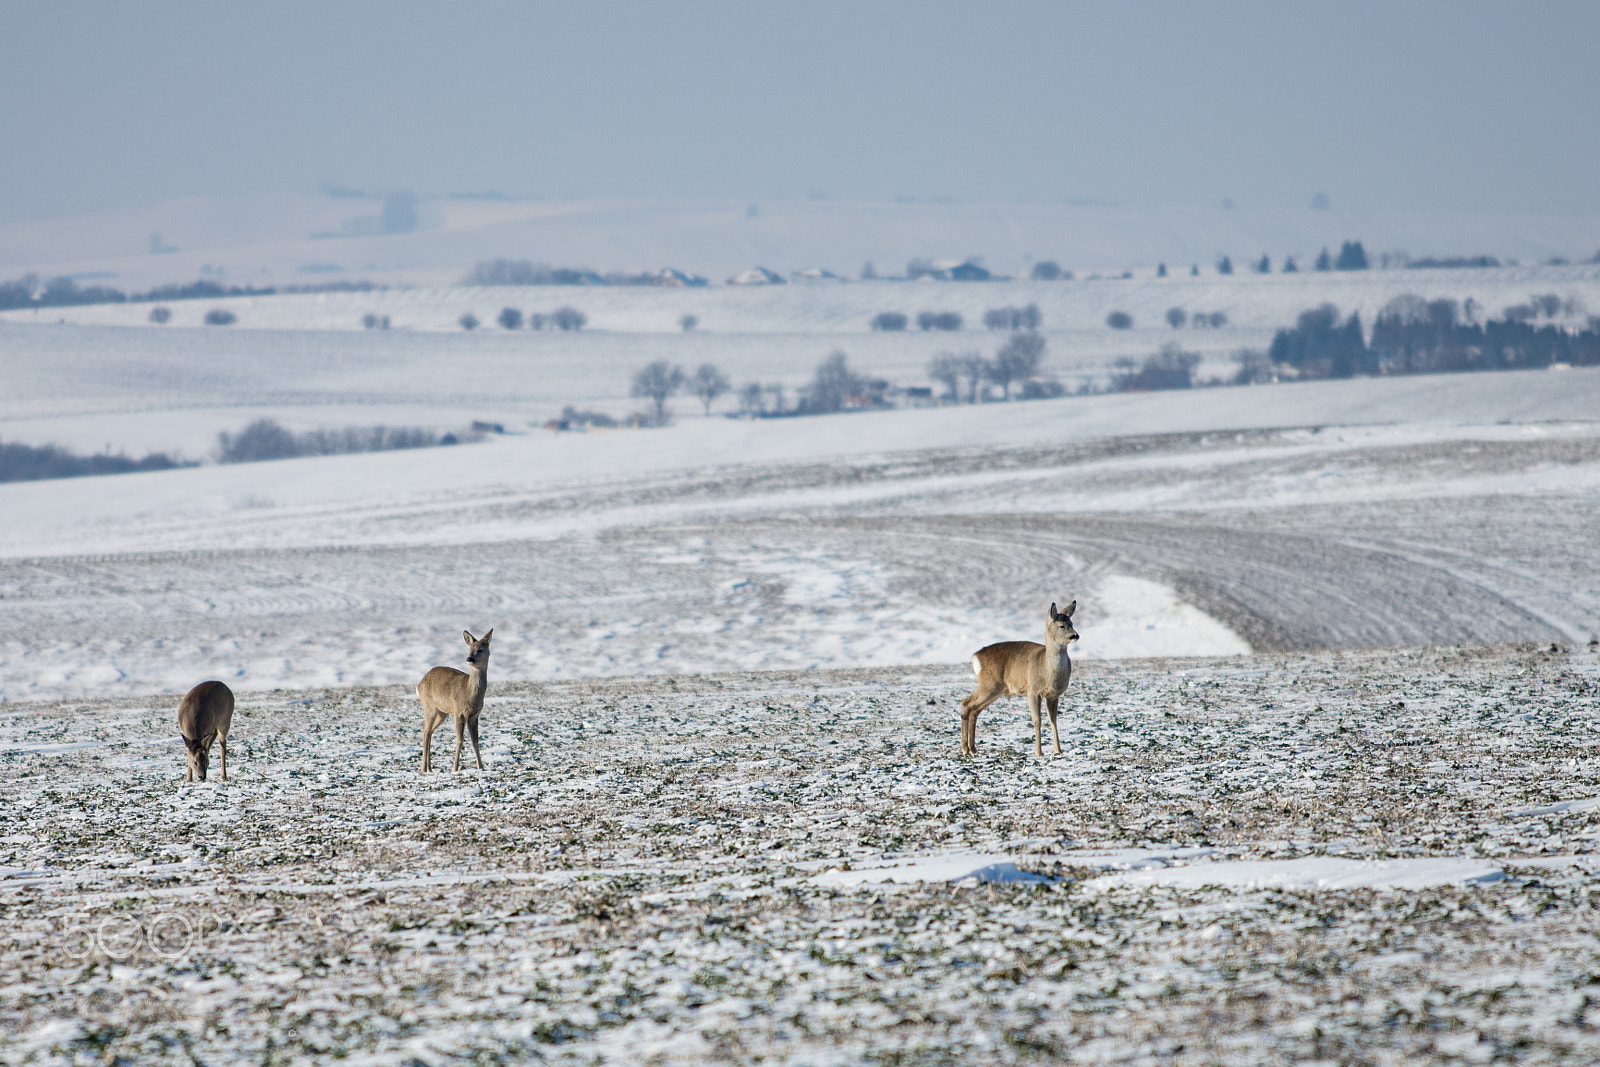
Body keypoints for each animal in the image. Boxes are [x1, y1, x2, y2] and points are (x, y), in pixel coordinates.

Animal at [418, 629, 493, 773]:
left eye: (480, 649)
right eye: (469, 649)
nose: (469, 658)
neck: (469, 693)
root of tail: (420, 683)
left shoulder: (474, 715)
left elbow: (475, 741)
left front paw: (481, 766)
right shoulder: (459, 711)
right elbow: (459, 739)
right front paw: (455, 767)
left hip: (442, 712)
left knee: (430, 731)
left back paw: (429, 768)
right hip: (429, 706)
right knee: (425, 731)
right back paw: (424, 769)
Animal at [960, 601, 1078, 757]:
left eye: (1071, 623)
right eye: (1062, 626)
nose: (1075, 635)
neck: (1048, 671)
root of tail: (975, 657)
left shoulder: (1053, 695)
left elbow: (1053, 720)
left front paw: (1058, 750)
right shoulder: (1033, 691)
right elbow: (1037, 720)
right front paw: (1038, 752)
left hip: (995, 689)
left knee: (974, 709)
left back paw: (972, 748)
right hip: (989, 685)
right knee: (966, 703)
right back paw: (965, 748)